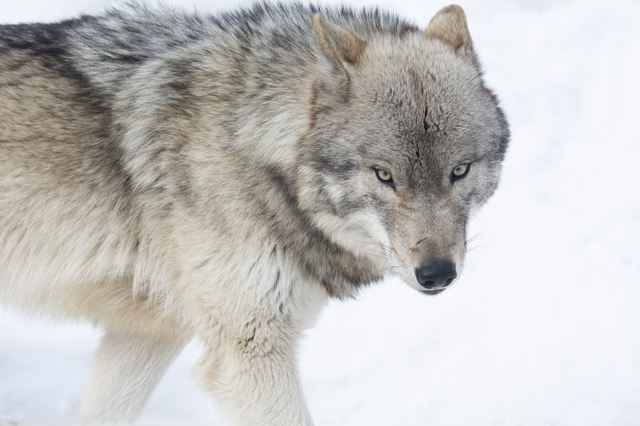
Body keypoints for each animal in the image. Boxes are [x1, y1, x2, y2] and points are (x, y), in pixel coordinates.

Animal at [1, 2, 510, 422]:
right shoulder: (249, 353)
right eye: (384, 175)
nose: (437, 274)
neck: (249, 143)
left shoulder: (151, 330)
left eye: (459, 171)